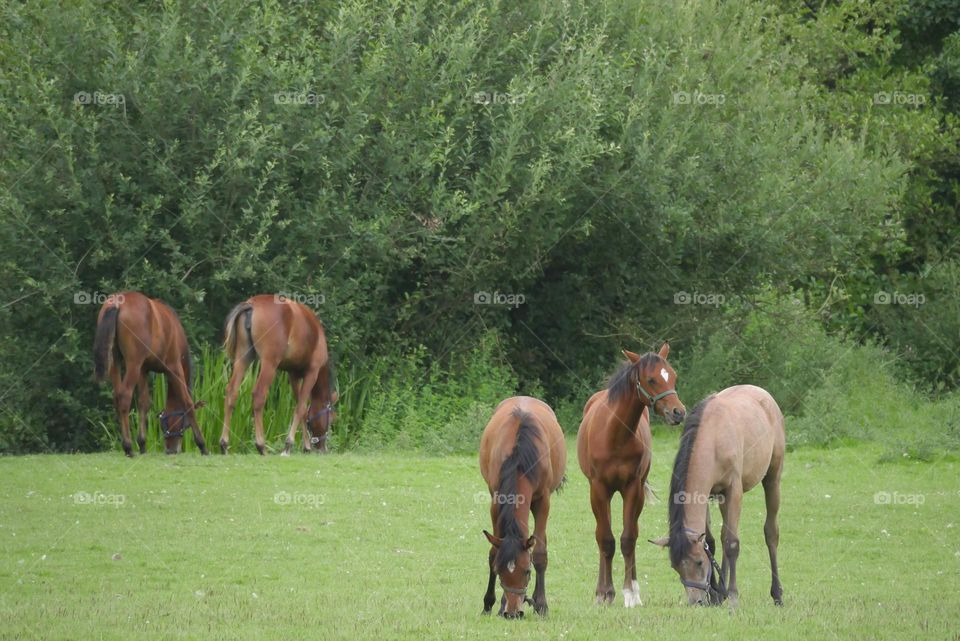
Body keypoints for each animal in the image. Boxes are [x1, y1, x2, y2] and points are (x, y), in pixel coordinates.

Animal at [92, 290, 208, 456]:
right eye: (185, 425)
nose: (171, 450)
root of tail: (117, 302)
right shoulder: (174, 368)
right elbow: (187, 402)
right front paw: (202, 444)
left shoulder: (143, 370)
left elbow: (144, 402)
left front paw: (142, 443)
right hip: (133, 364)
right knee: (124, 397)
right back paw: (128, 446)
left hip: (116, 361)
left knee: (117, 396)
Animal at [218, 296, 338, 456]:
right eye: (331, 419)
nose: (323, 448)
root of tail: (251, 305)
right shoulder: (312, 373)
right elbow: (300, 408)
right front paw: (288, 445)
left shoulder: (293, 375)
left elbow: (301, 408)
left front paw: (305, 446)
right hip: (269, 364)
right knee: (259, 396)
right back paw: (261, 445)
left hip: (243, 358)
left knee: (231, 392)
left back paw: (224, 444)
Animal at [478, 398, 568, 616]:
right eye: (500, 571)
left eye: (527, 571)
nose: (512, 612)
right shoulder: (496, 500)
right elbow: (494, 552)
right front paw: (490, 603)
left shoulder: (543, 501)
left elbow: (539, 553)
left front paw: (542, 604)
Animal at [572, 340, 688, 604]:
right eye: (651, 379)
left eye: (673, 375)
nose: (678, 412)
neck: (615, 435)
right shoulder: (599, 489)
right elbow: (605, 539)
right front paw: (604, 592)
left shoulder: (633, 489)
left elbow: (628, 539)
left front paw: (630, 593)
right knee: (602, 535)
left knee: (631, 533)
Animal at [648, 384, 784, 604]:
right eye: (675, 567)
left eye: (698, 563)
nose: (696, 602)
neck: (713, 439)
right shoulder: (706, 493)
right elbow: (710, 543)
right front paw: (715, 594)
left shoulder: (734, 491)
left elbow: (732, 543)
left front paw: (733, 596)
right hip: (720, 499)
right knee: (721, 536)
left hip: (772, 479)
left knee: (770, 532)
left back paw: (777, 594)